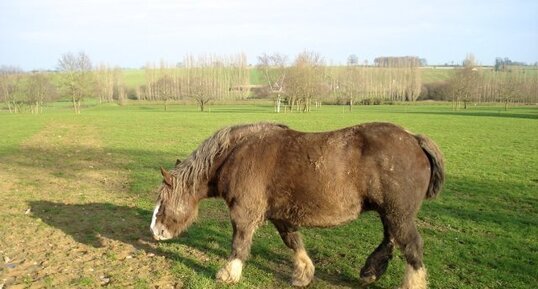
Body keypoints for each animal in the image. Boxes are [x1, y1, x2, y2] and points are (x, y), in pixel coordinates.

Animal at [149, 120, 442, 286]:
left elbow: (239, 244)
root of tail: (414, 139)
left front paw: (228, 274)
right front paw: (303, 274)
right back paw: (371, 270)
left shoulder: (243, 213)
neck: (236, 154)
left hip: (397, 214)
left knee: (412, 247)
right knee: (391, 240)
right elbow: (293, 242)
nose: (156, 231)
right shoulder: (280, 215)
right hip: (390, 214)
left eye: (163, 200)